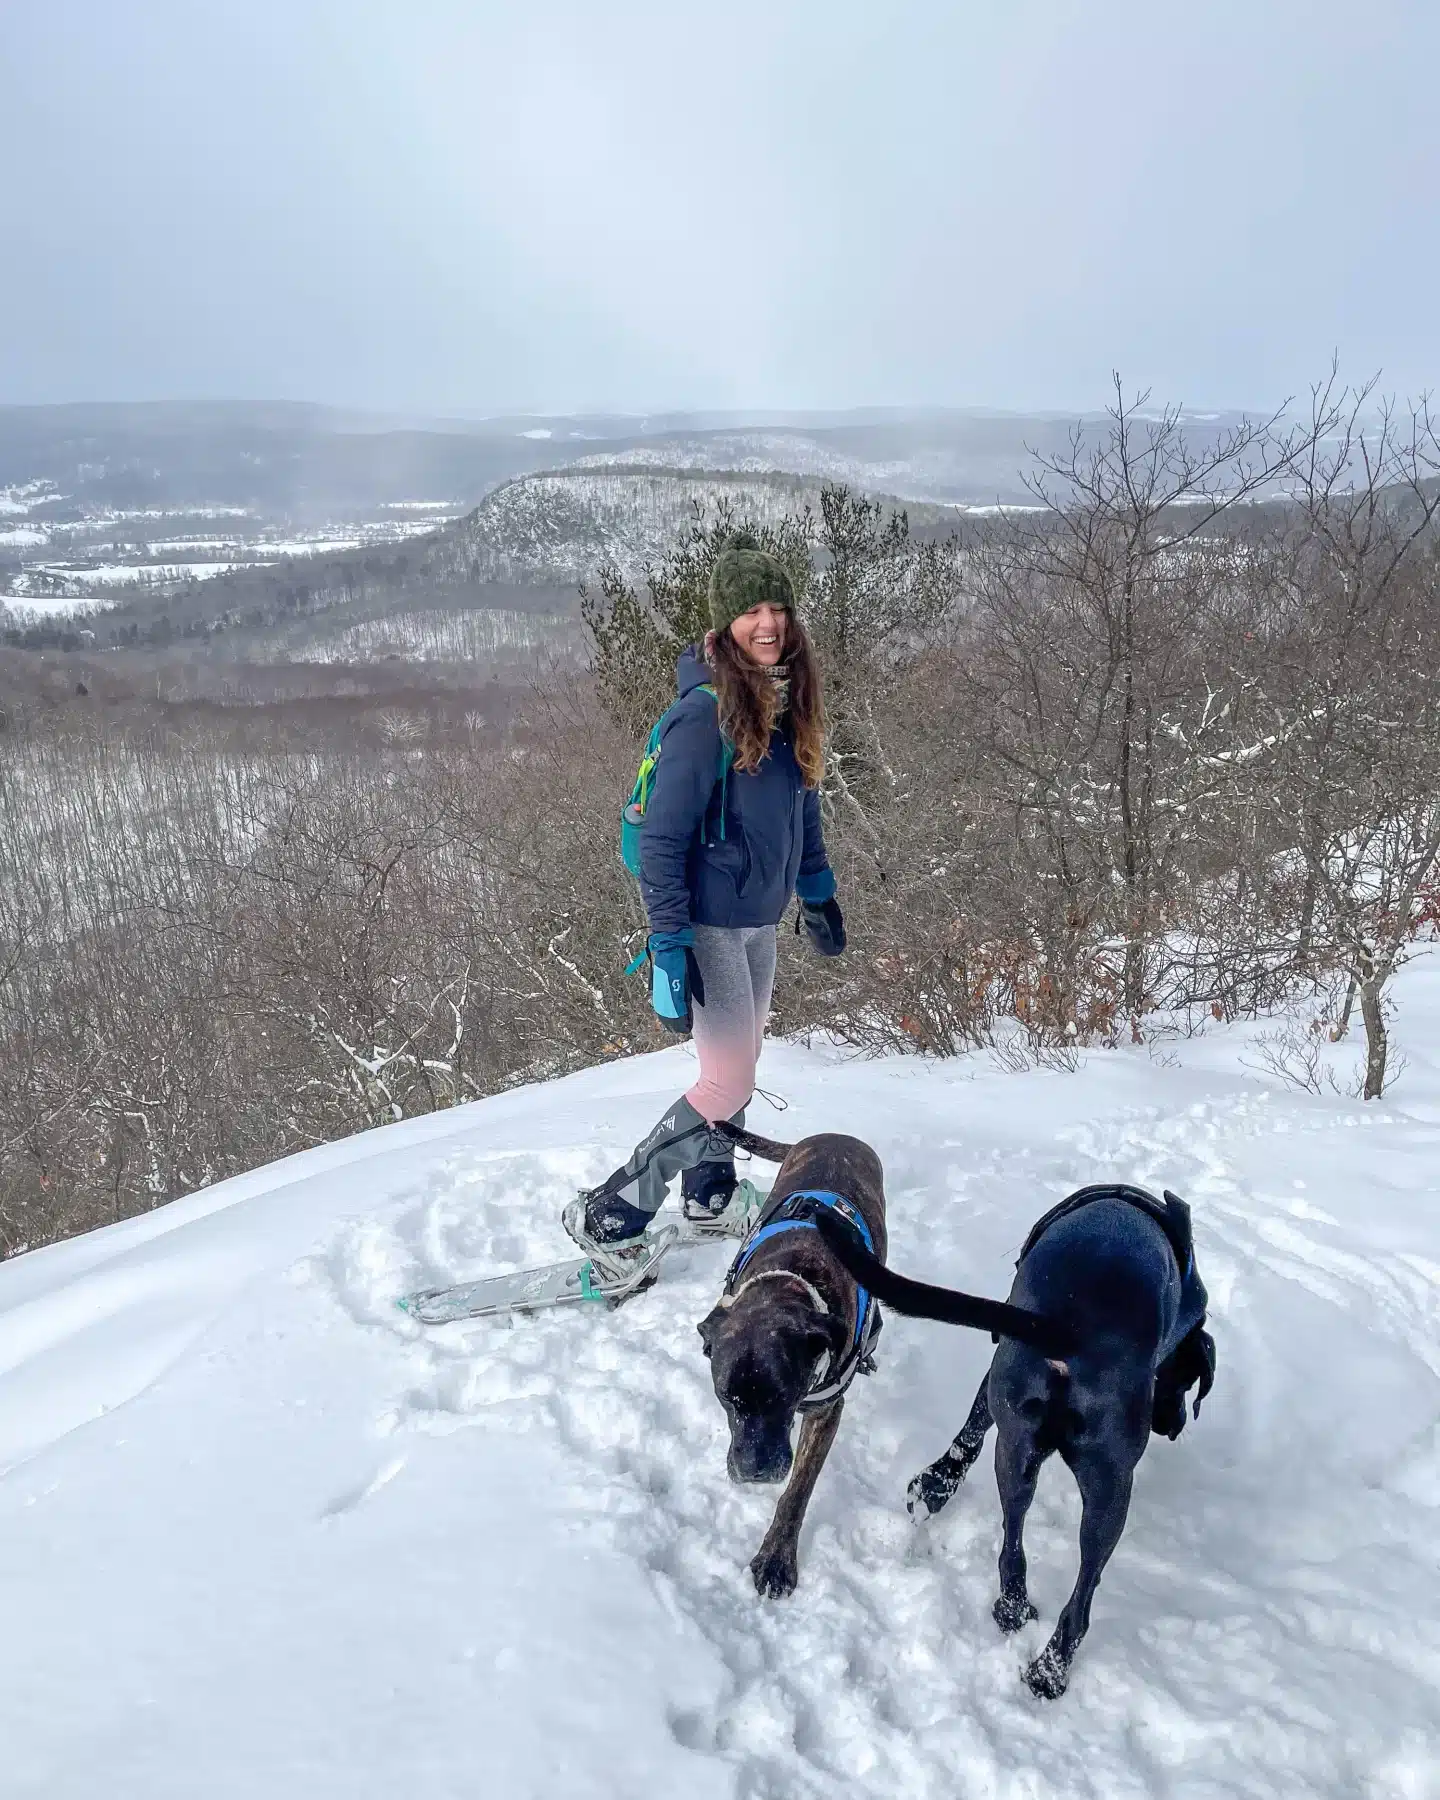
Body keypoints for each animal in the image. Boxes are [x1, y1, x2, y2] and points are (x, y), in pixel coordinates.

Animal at [702, 1130, 1065, 1598]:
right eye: (726, 1398)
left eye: (784, 1397)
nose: (753, 1472)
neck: (787, 1282)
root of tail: (832, 1135)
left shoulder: (825, 1412)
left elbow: (798, 1489)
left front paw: (777, 1557)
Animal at [817, 1188, 1209, 1692]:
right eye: (1187, 1381)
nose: (1174, 1424)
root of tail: (1076, 1330)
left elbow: (971, 1430)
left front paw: (935, 1485)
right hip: (1102, 1476)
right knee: (1076, 1592)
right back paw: (1046, 1661)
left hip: (1033, 1452)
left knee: (1018, 1543)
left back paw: (1022, 1625)